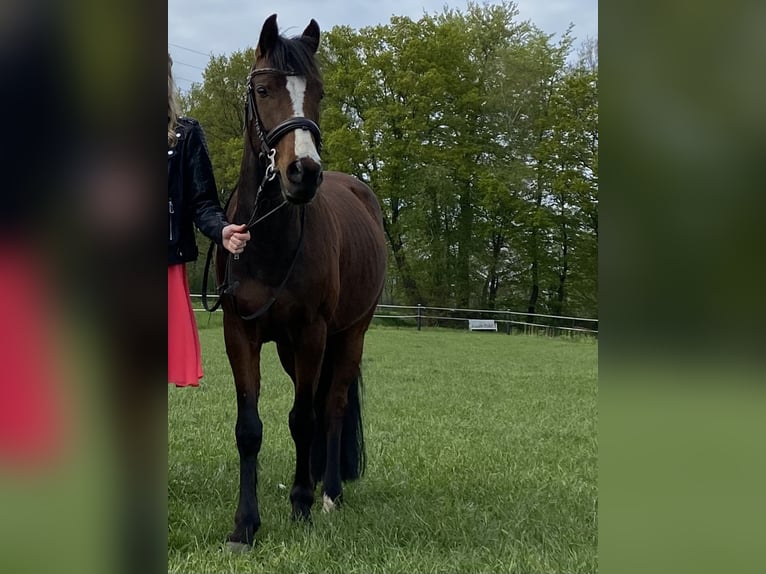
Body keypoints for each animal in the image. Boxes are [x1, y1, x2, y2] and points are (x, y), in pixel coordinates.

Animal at [214, 14, 387, 548]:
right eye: (263, 89)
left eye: (320, 92)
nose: (303, 173)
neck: (269, 239)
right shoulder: (240, 332)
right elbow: (250, 428)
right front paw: (244, 525)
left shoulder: (312, 333)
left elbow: (305, 417)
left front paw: (302, 505)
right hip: (292, 351)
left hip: (349, 335)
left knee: (330, 408)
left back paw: (327, 491)